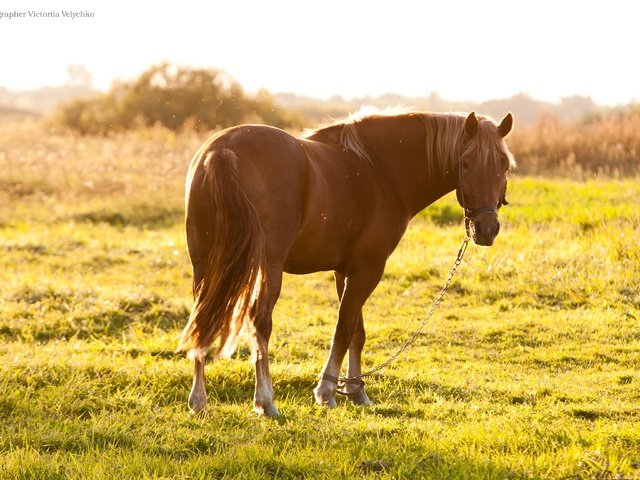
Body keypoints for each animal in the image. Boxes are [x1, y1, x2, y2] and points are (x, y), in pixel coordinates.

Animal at [176, 109, 516, 416]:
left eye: (504, 165)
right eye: (465, 164)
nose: (486, 229)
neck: (379, 170)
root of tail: (222, 151)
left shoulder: (346, 270)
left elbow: (356, 332)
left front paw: (355, 390)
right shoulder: (368, 269)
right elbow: (343, 327)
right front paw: (327, 390)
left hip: (204, 265)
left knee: (202, 318)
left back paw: (199, 400)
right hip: (267, 267)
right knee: (260, 323)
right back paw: (266, 401)